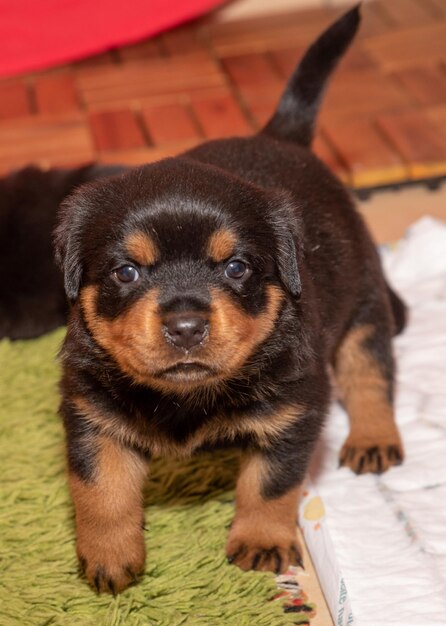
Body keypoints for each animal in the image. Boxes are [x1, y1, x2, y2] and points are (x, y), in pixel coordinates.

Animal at [53, 4, 404, 592]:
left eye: (236, 267)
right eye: (126, 272)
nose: (186, 326)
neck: (186, 396)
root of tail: (283, 136)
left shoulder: (295, 412)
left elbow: (269, 485)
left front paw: (260, 542)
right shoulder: (91, 414)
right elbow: (100, 491)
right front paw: (109, 557)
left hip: (363, 303)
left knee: (369, 372)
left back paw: (374, 438)